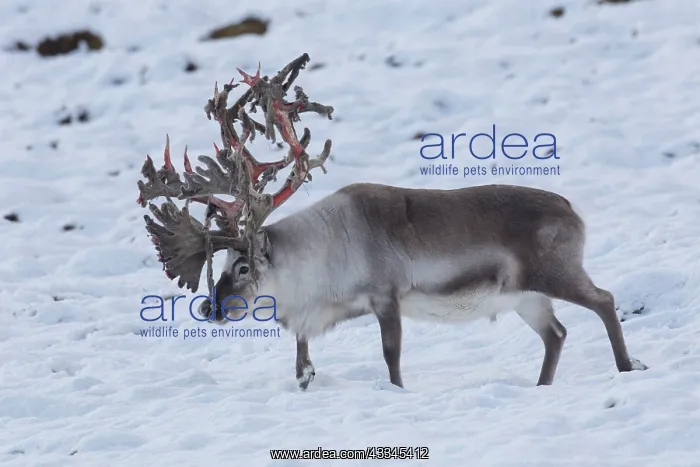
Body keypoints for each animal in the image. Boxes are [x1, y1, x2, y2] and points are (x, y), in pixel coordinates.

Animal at [136, 53, 648, 391]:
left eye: (243, 267)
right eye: (221, 264)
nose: (212, 309)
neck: (319, 256)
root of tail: (573, 210)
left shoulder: (387, 296)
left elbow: (391, 356)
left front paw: (398, 391)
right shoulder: (318, 313)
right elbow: (301, 356)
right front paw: (305, 379)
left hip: (554, 272)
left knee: (603, 300)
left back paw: (627, 367)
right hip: (525, 297)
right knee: (557, 334)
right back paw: (542, 387)